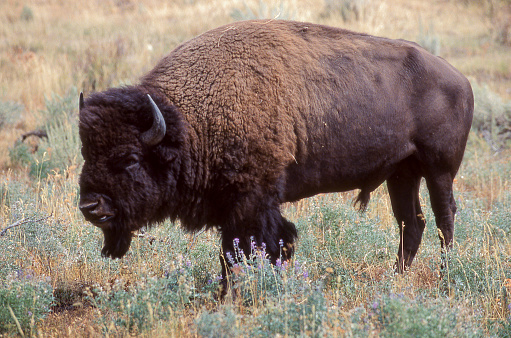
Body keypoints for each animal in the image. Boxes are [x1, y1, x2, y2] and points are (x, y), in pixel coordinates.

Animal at [80, 19, 476, 288]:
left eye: (130, 159)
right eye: (86, 152)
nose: (90, 206)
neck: (189, 121)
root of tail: (461, 78)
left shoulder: (253, 203)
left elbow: (251, 249)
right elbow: (240, 251)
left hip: (438, 170)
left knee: (444, 218)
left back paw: (446, 274)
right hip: (402, 173)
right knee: (412, 223)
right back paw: (395, 278)